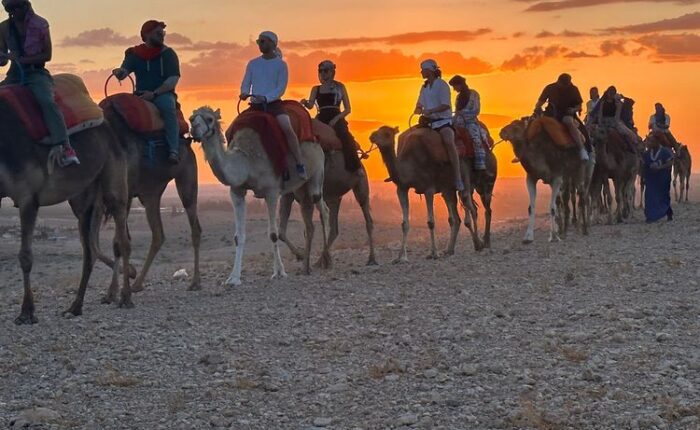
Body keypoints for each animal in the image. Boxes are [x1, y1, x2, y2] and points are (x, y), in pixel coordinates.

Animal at [0, 98, 131, 326]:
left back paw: (125, 298)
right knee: (89, 250)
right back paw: (75, 307)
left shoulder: (27, 197)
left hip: (114, 176)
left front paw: (27, 312)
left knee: (121, 238)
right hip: (83, 199)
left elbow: (25, 256)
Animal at [93, 104, 202, 292]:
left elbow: (116, 242)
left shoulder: (123, 194)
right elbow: (100, 244)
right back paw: (137, 284)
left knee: (194, 225)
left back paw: (195, 281)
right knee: (158, 234)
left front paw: (126, 277)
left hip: (186, 175)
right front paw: (119, 283)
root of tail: (187, 141)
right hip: (150, 193)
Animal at [186, 106, 328, 284]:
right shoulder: (237, 191)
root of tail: (316, 140)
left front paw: (279, 272)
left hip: (317, 174)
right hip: (299, 188)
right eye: (191, 118)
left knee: (323, 209)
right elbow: (238, 236)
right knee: (309, 218)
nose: (194, 129)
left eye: (210, 119)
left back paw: (325, 259)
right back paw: (306, 266)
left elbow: (273, 234)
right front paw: (233, 278)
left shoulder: (271, 191)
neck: (247, 162)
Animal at [278, 118, 378, 266]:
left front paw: (303, 256)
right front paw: (300, 255)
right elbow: (281, 232)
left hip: (361, 185)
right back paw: (322, 260)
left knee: (367, 218)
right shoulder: (288, 194)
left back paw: (371, 258)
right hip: (334, 197)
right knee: (334, 228)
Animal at [366, 122, 482, 260]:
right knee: (456, 218)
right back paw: (450, 250)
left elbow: (431, 222)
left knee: (471, 207)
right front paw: (400, 257)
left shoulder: (429, 189)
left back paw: (479, 244)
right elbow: (404, 224)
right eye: (377, 130)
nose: (372, 136)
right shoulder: (402, 189)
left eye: (387, 133)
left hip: (464, 177)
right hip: (448, 190)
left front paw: (434, 253)